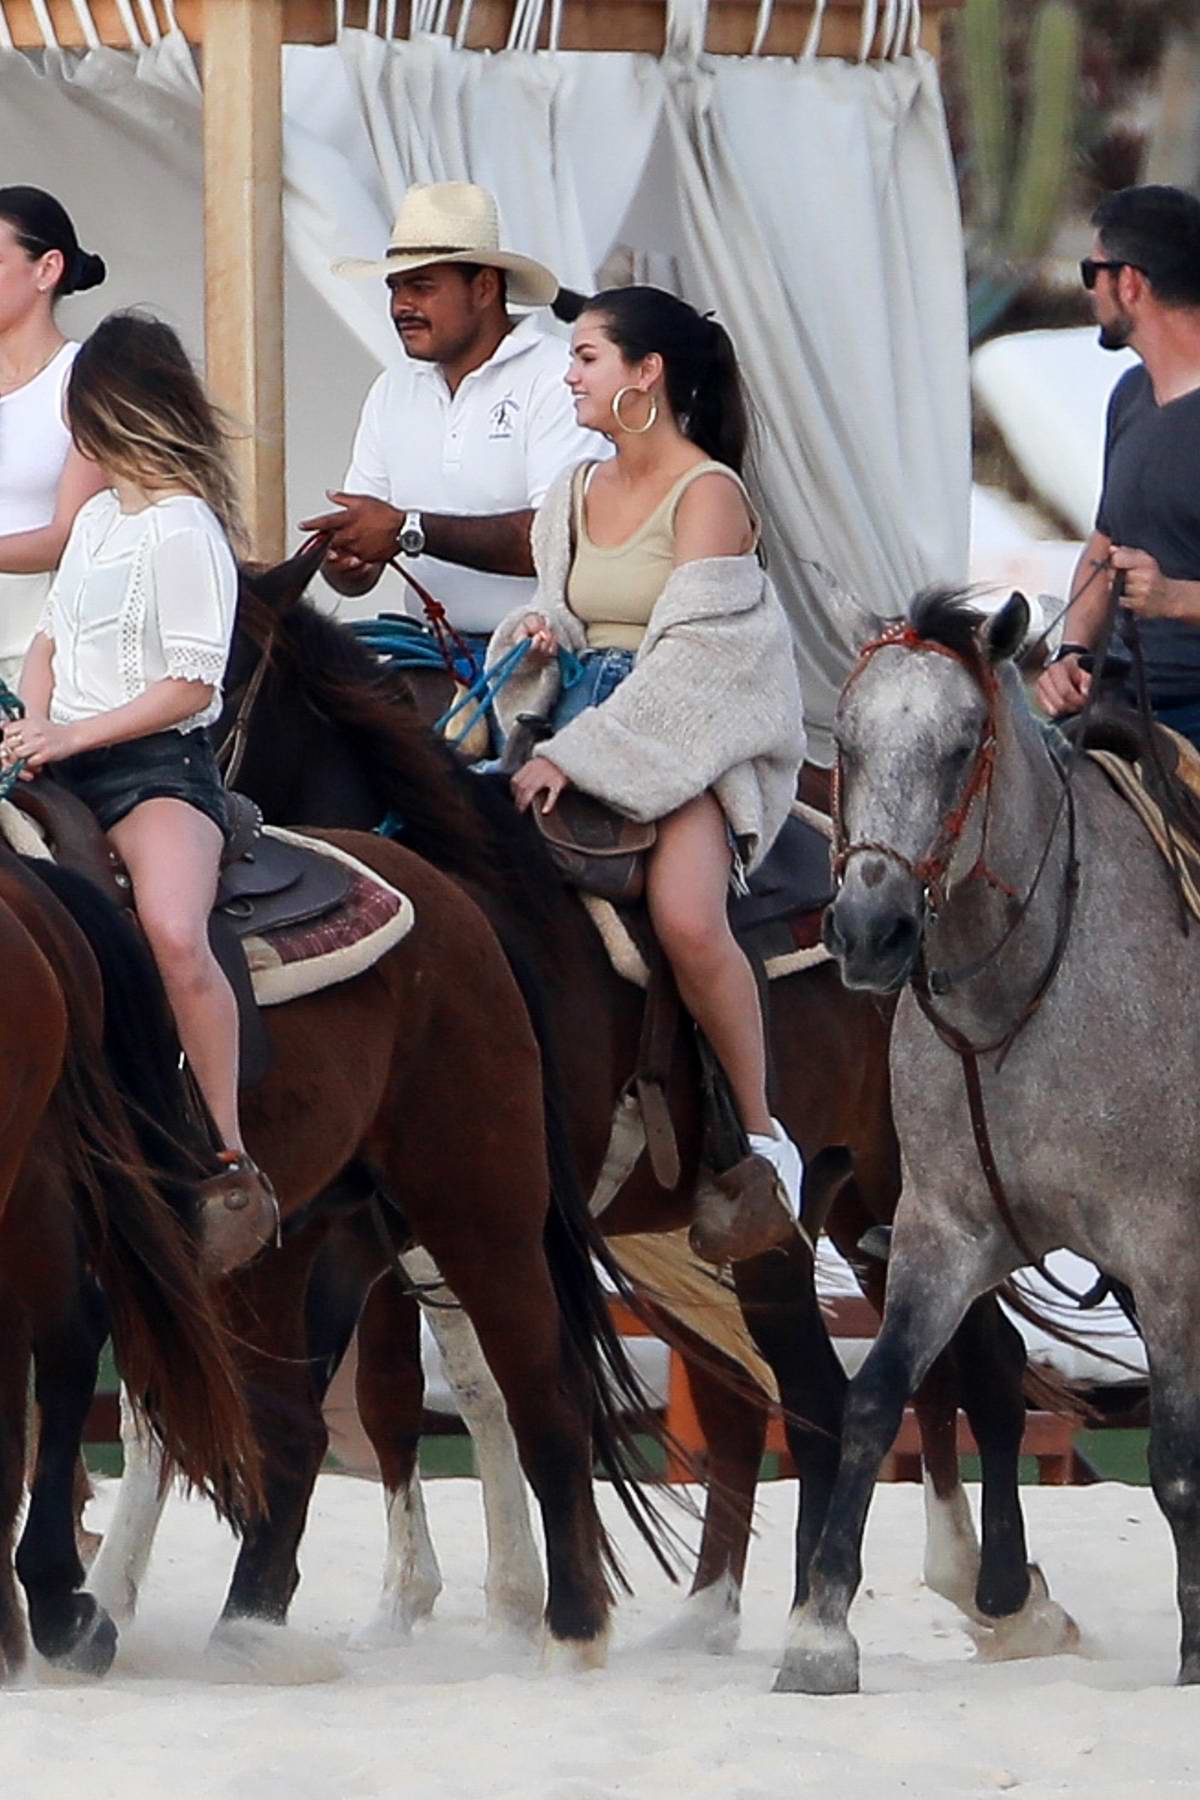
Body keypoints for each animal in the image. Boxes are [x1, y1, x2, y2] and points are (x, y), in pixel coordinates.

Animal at [788, 586, 1200, 1684]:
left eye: (960, 743)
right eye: (847, 740)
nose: (870, 931)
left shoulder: (1165, 1251)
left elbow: (1178, 1462)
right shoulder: (943, 1234)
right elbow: (875, 1398)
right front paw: (820, 1631)